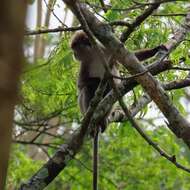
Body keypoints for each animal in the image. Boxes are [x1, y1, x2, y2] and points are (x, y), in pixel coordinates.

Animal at [70, 31, 167, 190]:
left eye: (76, 49)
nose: (74, 54)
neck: (94, 54)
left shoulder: (108, 52)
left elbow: (129, 58)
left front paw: (155, 49)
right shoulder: (85, 63)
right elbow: (81, 84)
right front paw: (99, 82)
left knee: (110, 94)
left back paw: (103, 117)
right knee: (87, 89)